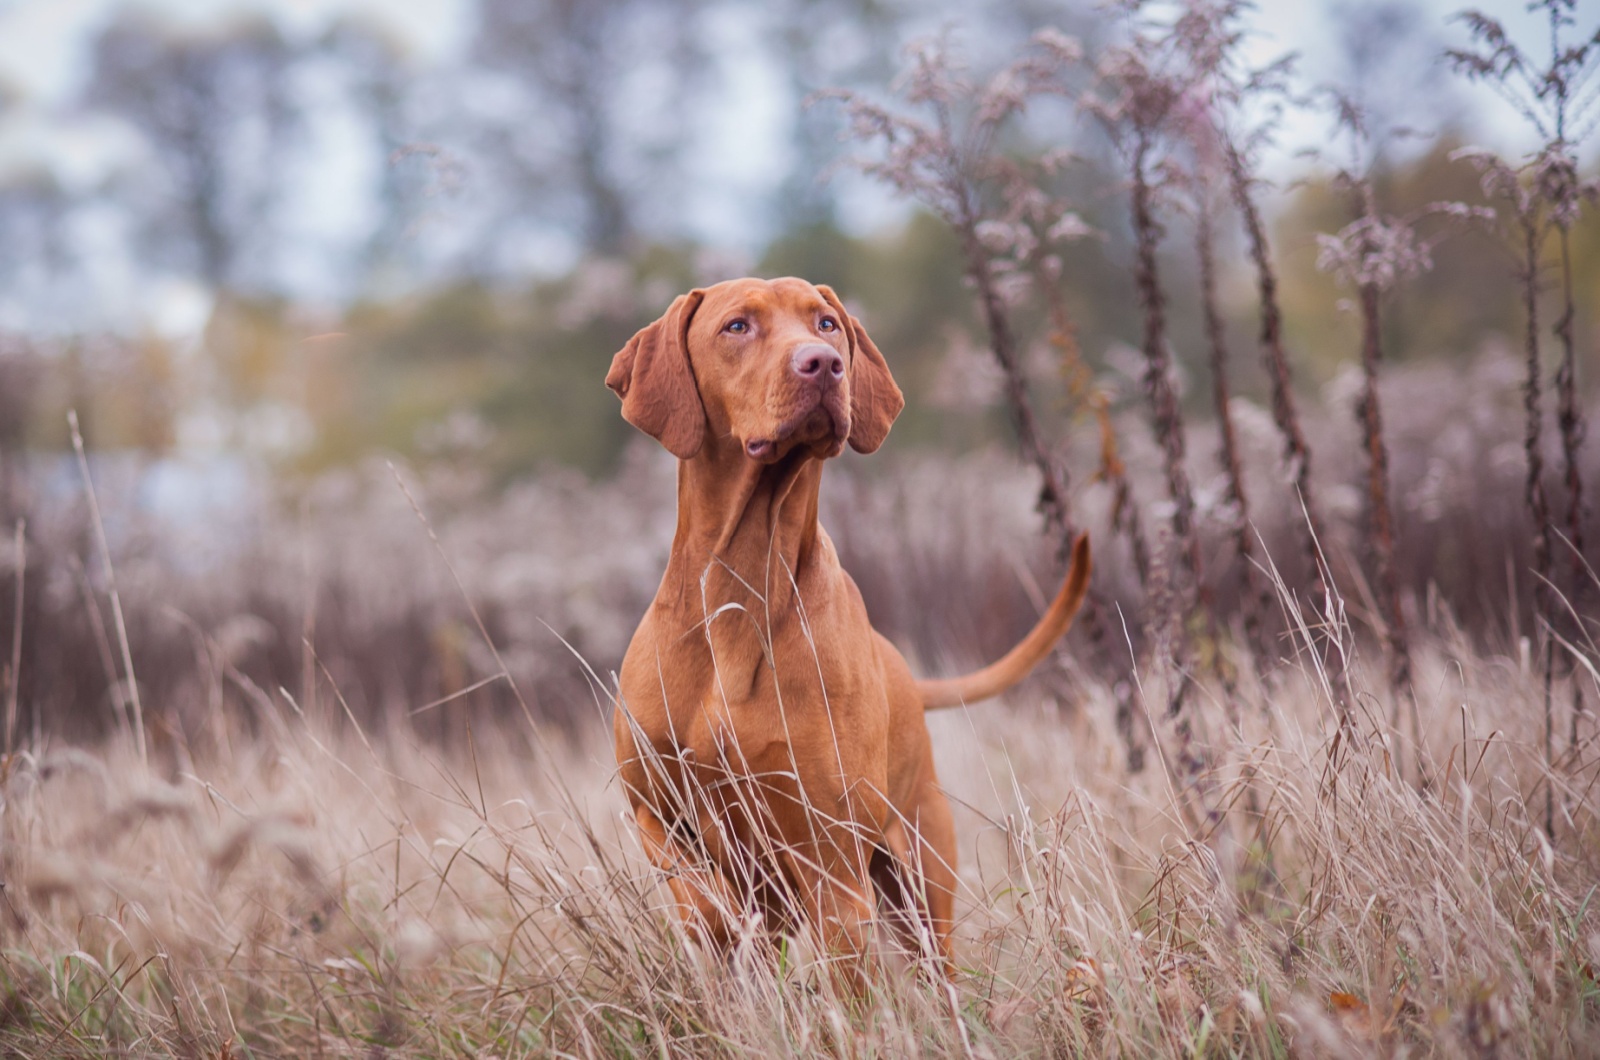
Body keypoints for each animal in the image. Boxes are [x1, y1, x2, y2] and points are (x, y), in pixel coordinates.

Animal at [604, 278, 1094, 986]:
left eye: (826, 324)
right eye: (736, 326)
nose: (823, 364)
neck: (740, 589)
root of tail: (907, 676)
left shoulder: (831, 865)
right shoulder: (654, 810)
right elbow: (705, 903)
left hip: (919, 885)